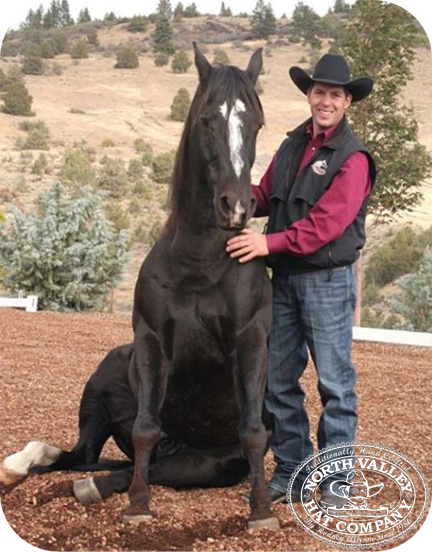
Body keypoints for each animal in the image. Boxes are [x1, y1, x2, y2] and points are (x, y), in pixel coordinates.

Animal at [0, 44, 276, 532]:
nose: (237, 208)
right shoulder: (149, 341)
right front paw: (138, 507)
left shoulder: (250, 342)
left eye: (257, 123)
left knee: (133, 466)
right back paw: (22, 466)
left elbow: (252, 432)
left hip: (209, 462)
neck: (199, 265)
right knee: (85, 456)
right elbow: (146, 429)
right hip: (104, 386)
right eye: (208, 119)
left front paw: (261, 511)